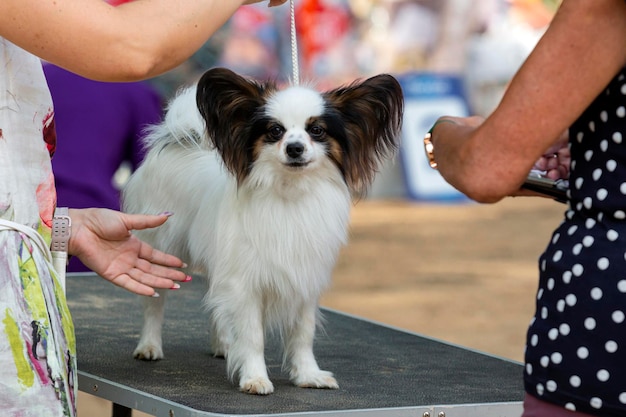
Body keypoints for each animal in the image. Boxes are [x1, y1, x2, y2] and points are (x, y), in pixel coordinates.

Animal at [121, 67, 402, 394]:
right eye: (275, 131)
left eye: (317, 130)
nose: (295, 148)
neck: (290, 194)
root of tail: (184, 141)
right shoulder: (246, 283)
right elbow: (253, 335)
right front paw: (254, 377)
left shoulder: (304, 279)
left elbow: (303, 334)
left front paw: (308, 375)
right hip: (161, 253)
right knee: (154, 304)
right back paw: (149, 346)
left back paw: (224, 345)